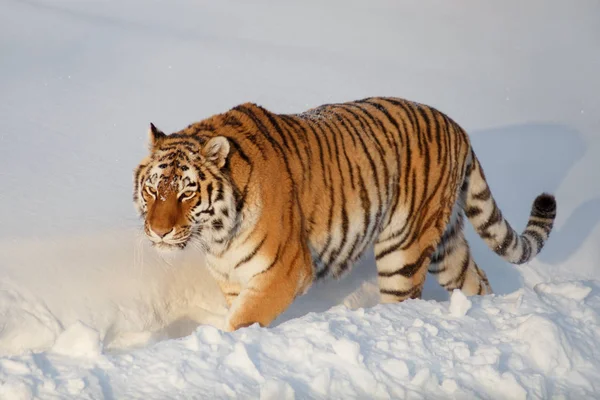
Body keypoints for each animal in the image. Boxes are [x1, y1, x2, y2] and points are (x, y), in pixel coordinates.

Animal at [132, 96, 556, 332]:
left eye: (187, 193)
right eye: (153, 189)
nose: (158, 232)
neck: (217, 236)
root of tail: (457, 127)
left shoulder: (283, 271)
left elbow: (243, 320)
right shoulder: (233, 277)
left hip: (403, 248)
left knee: (404, 296)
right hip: (446, 247)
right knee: (475, 279)